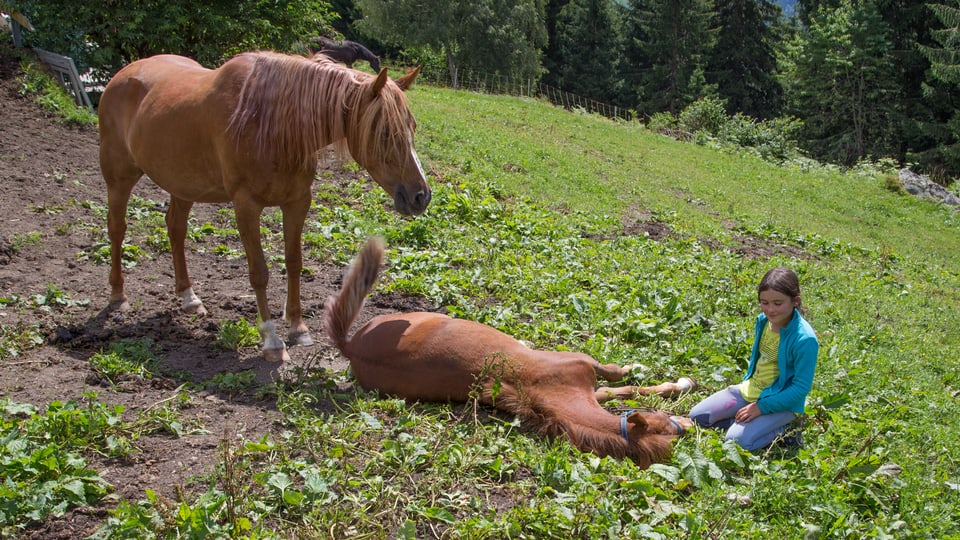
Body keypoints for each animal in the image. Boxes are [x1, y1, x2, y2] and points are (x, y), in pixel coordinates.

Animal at [97, 51, 428, 362]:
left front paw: (297, 328)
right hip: (119, 178)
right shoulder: (246, 205)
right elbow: (259, 272)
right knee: (117, 229)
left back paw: (189, 298)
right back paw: (117, 296)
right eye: (385, 132)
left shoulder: (297, 202)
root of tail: (123, 75)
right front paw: (271, 340)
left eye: (412, 127)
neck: (272, 124)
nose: (421, 196)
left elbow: (294, 262)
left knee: (176, 229)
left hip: (184, 184)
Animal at [326, 237, 692, 468]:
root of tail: (351, 346)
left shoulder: (590, 389)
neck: (548, 388)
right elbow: (621, 376)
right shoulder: (584, 362)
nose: (689, 423)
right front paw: (670, 379)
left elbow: (621, 390)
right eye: (663, 422)